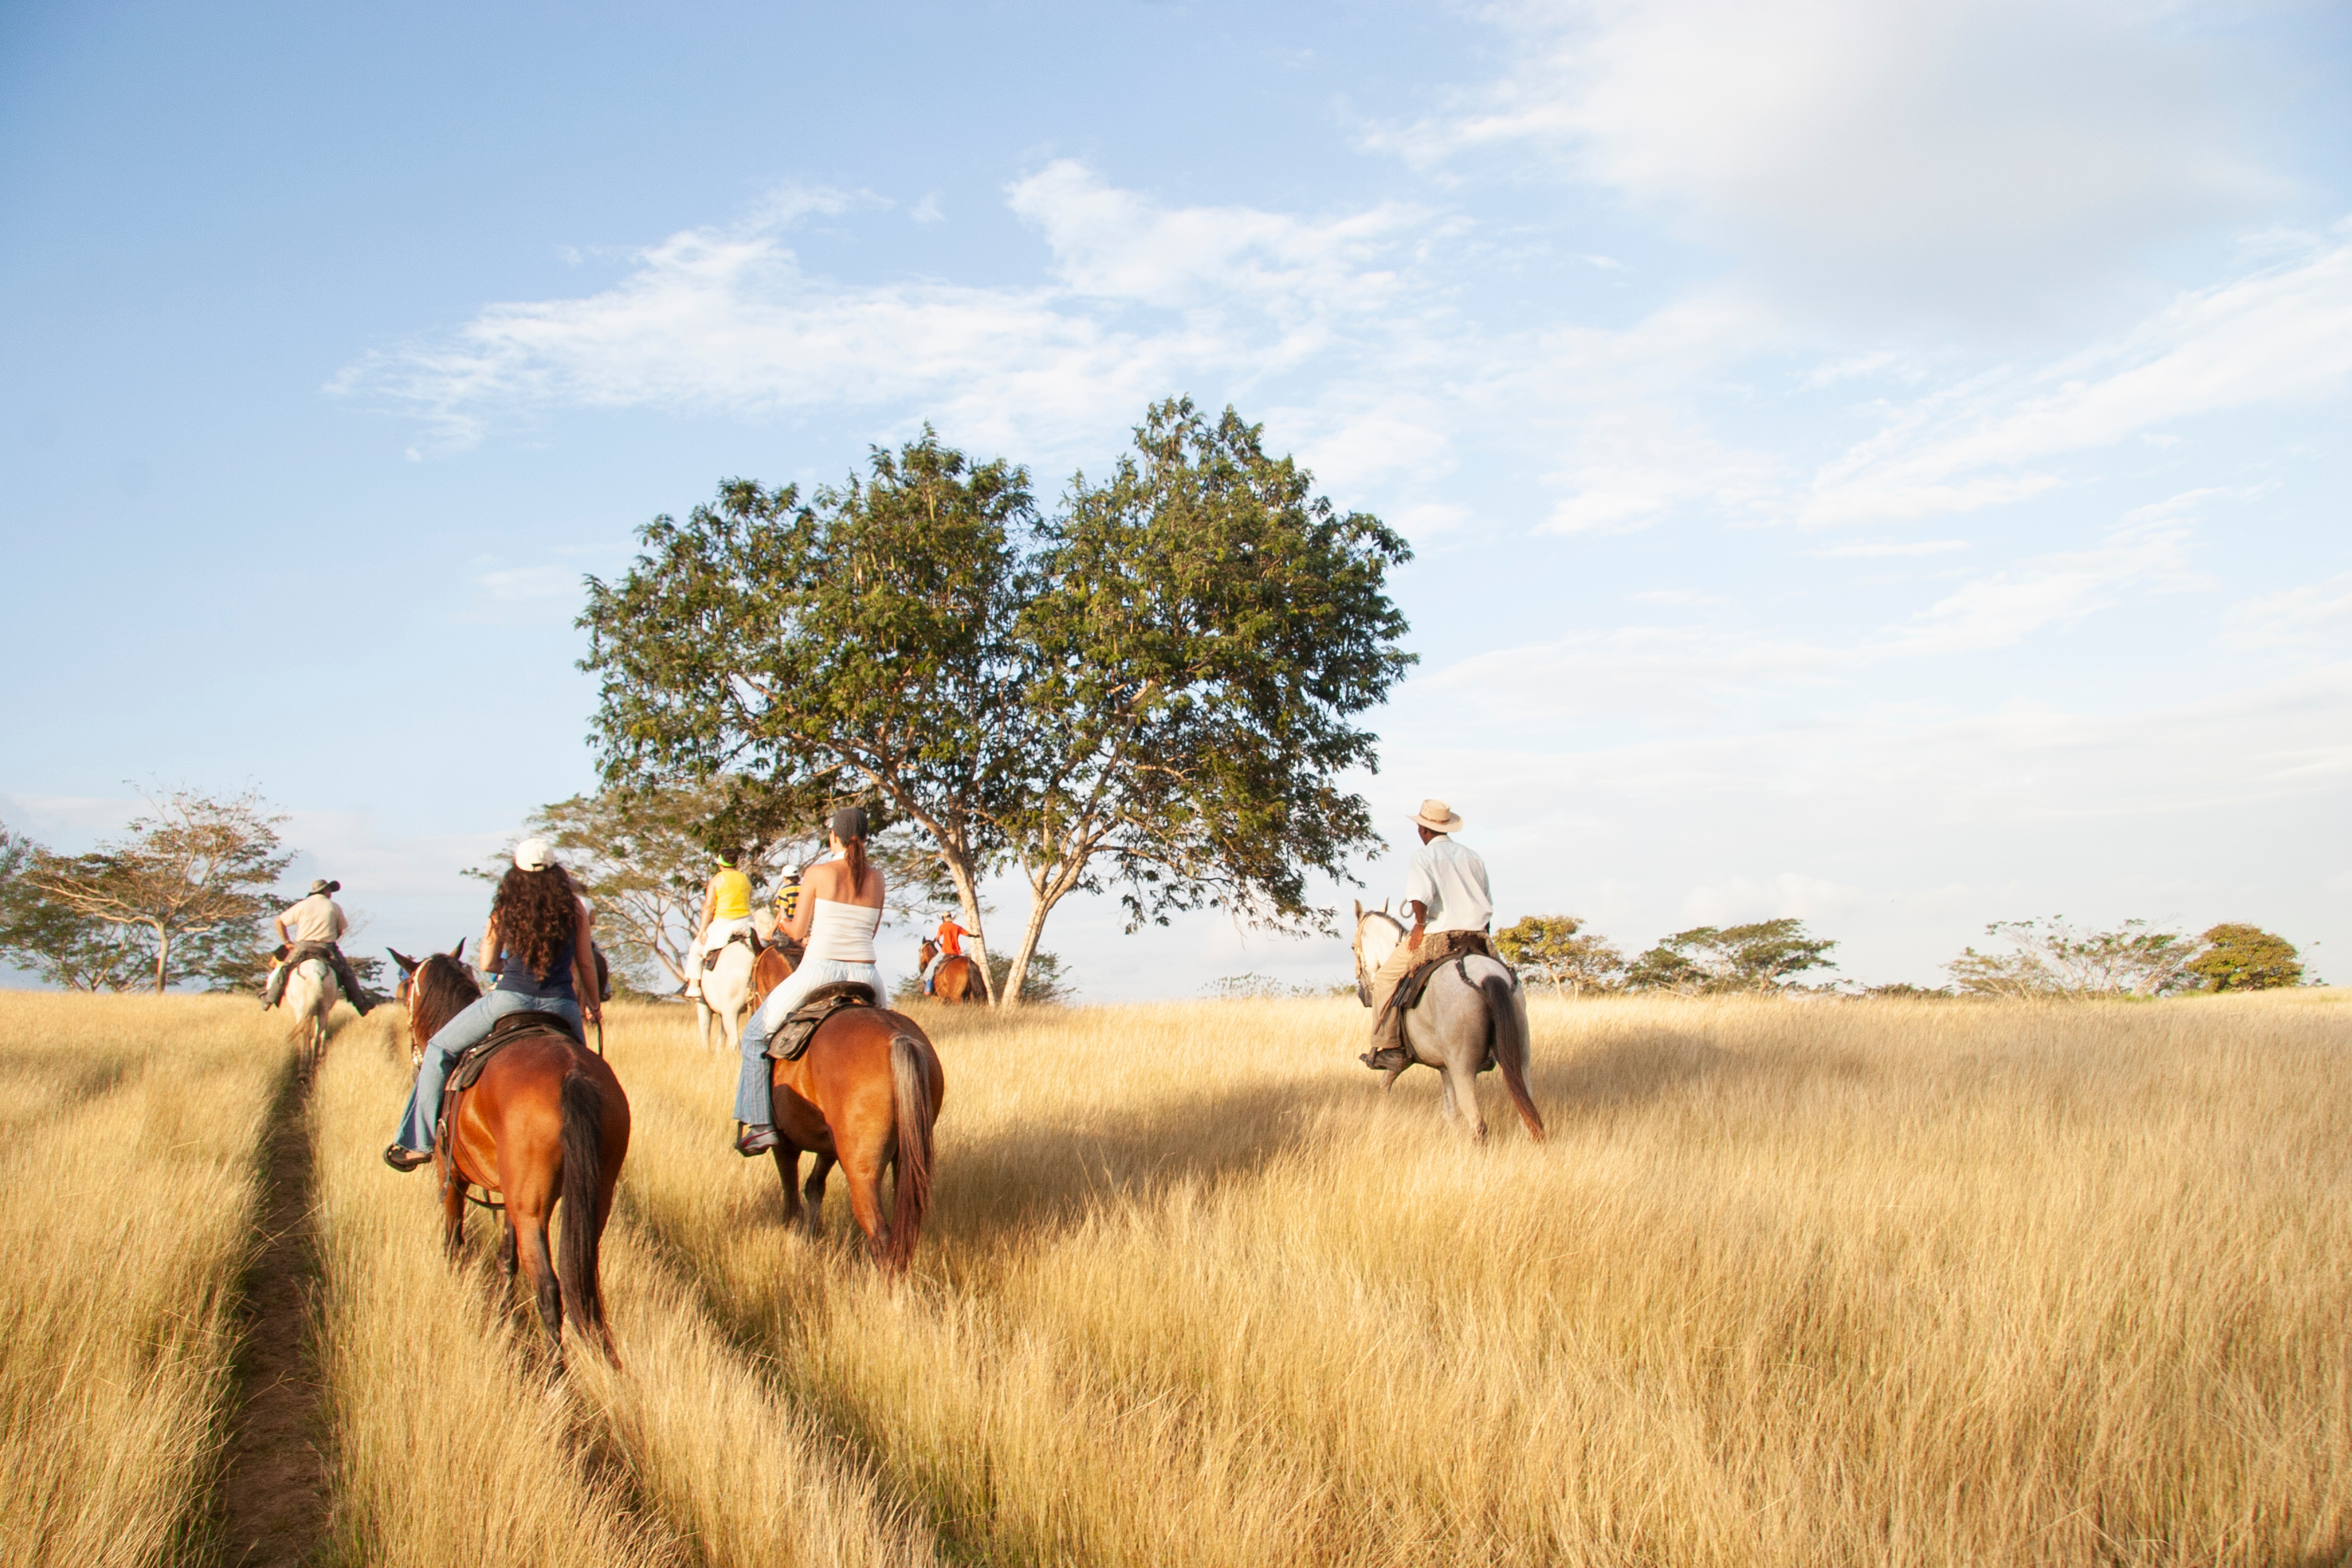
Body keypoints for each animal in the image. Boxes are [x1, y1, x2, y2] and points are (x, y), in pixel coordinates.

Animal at [405, 945, 630, 1363]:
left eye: (406, 987)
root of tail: (572, 1073)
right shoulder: (509, 1195)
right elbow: (506, 1258)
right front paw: (503, 1316)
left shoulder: (451, 1175)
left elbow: (453, 1240)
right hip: (593, 1196)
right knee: (585, 1281)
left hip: (531, 1208)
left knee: (548, 1288)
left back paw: (556, 1372)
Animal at [762, 1006, 946, 1279]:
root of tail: (897, 1037)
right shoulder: (830, 1148)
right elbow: (814, 1187)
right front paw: (812, 1238)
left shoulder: (785, 1145)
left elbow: (792, 1201)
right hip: (906, 1161)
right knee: (905, 1232)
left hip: (862, 1174)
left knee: (880, 1236)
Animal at [913, 945, 978, 1006]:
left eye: (920, 951)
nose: (921, 968)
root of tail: (968, 963)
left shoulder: (936, 998)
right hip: (972, 996)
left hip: (956, 997)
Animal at [1364, 907, 1543, 1142]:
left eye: (1353, 948)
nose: (1363, 994)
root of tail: (1488, 975)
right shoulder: (1445, 1068)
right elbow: (1449, 1112)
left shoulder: (1405, 1060)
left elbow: (1385, 1084)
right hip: (1520, 1059)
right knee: (1528, 1115)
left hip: (1463, 1068)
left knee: (1478, 1123)